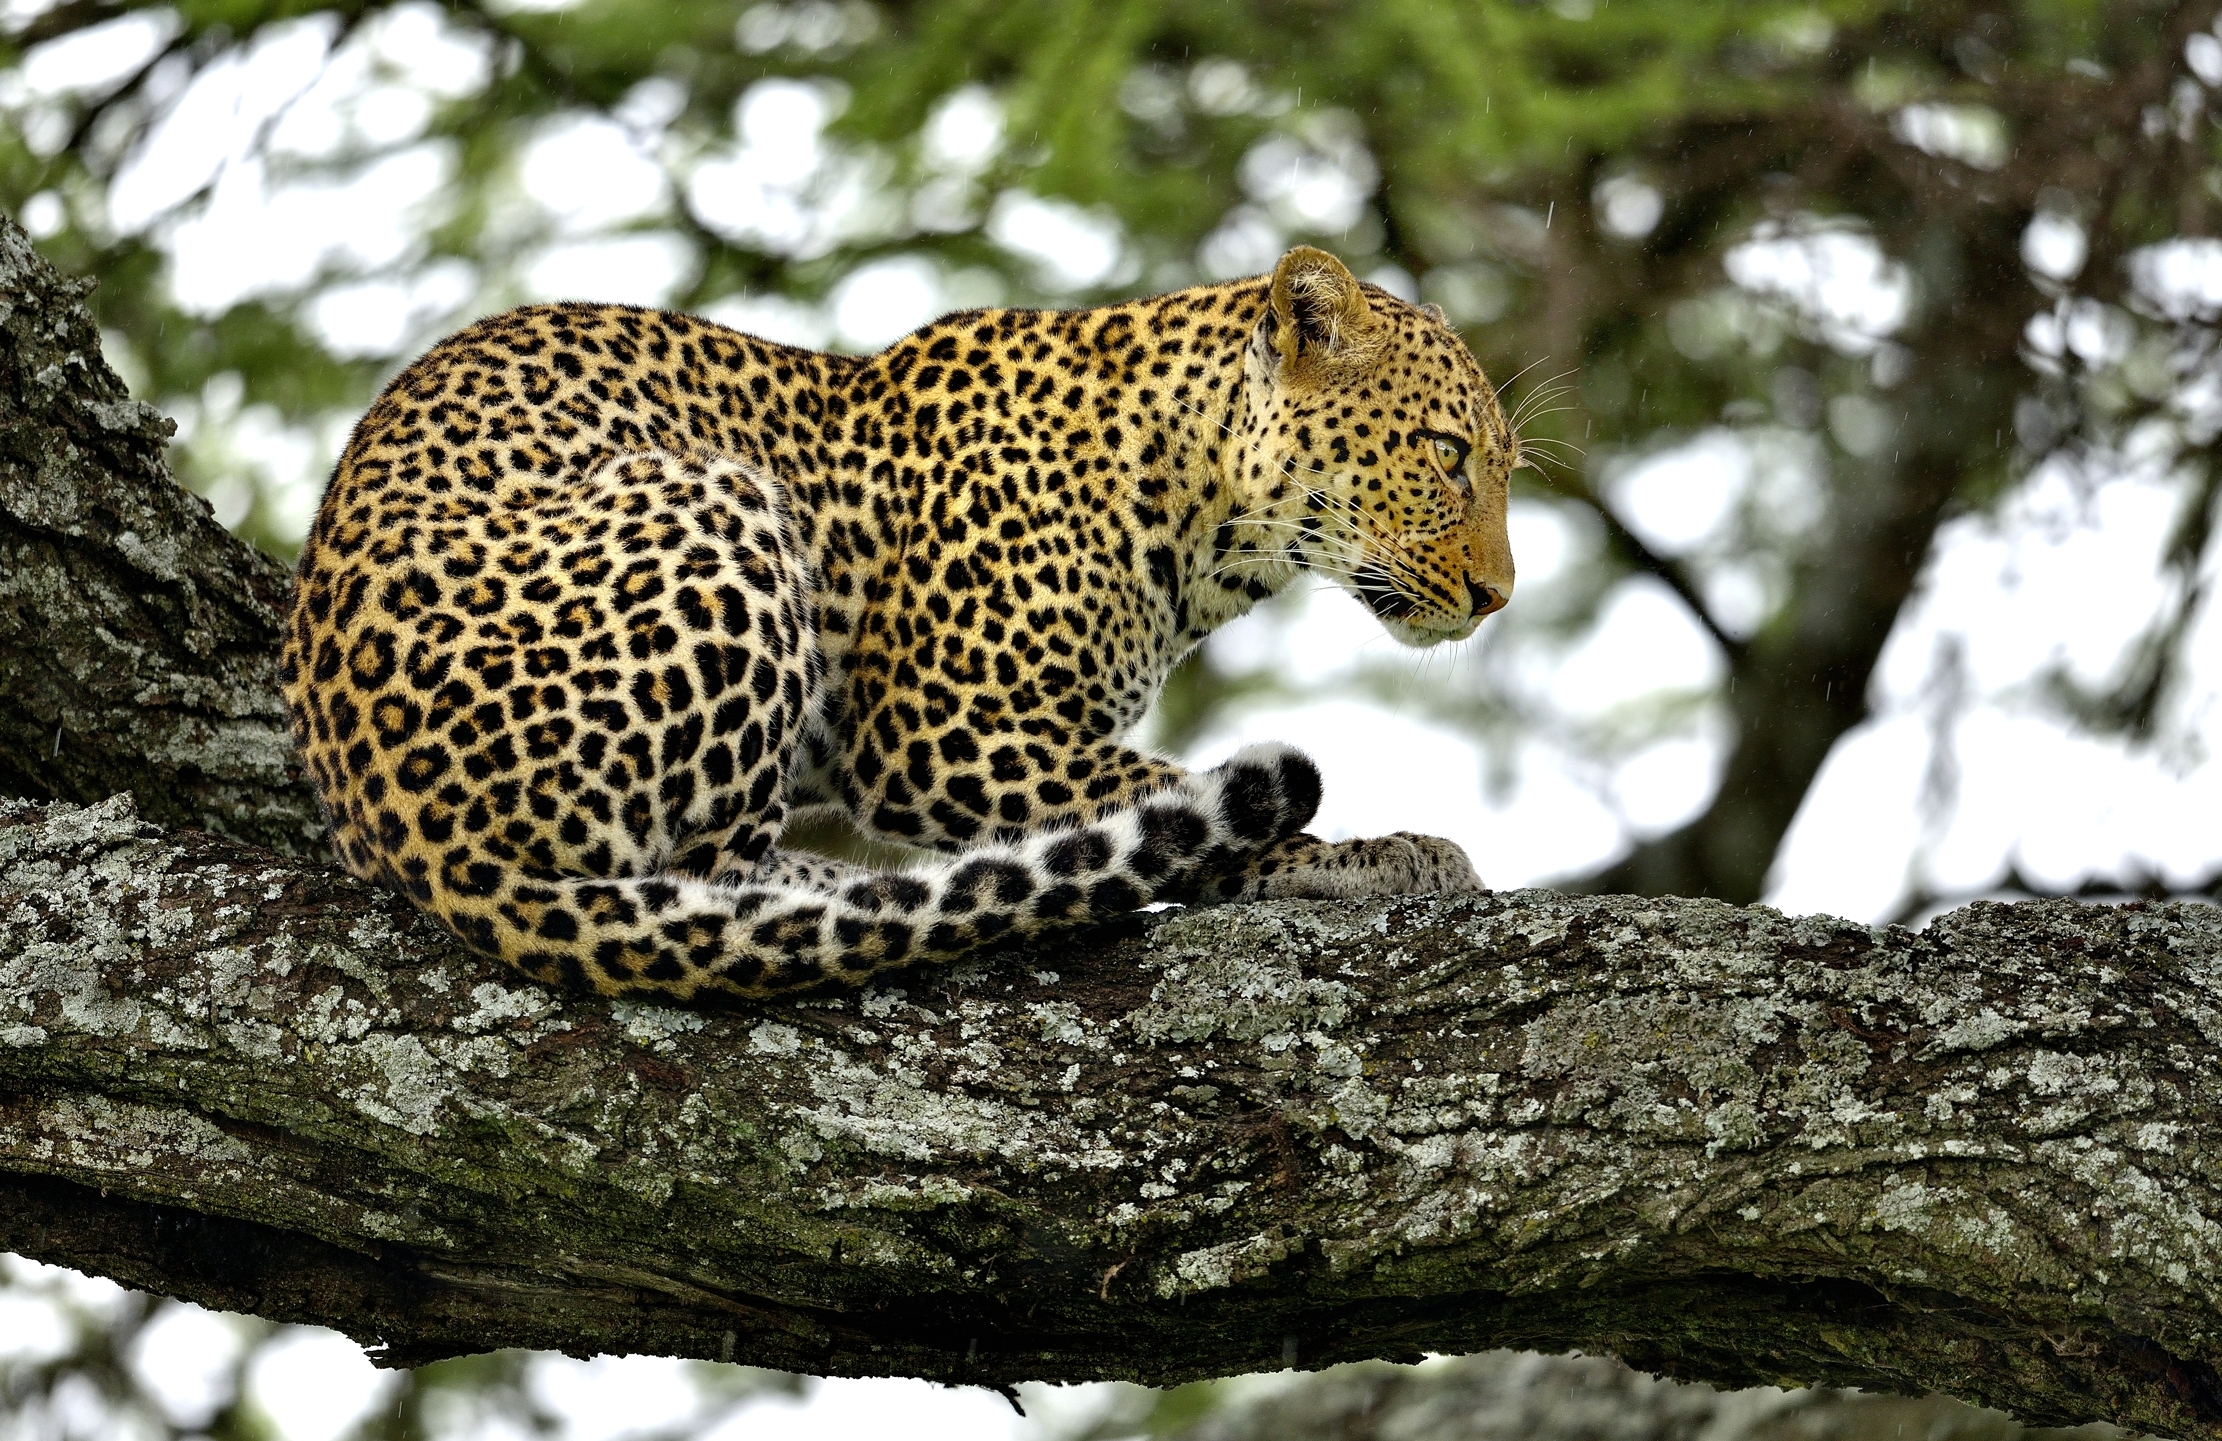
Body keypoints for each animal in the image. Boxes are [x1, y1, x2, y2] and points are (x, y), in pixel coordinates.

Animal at [281, 245, 1519, 1001]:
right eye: (1445, 456)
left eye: (1502, 467)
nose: (1496, 595)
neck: (1204, 521)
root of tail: (405, 817)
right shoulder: (944, 729)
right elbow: (1168, 797)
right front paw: (1365, 856)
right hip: (717, 499)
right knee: (706, 888)